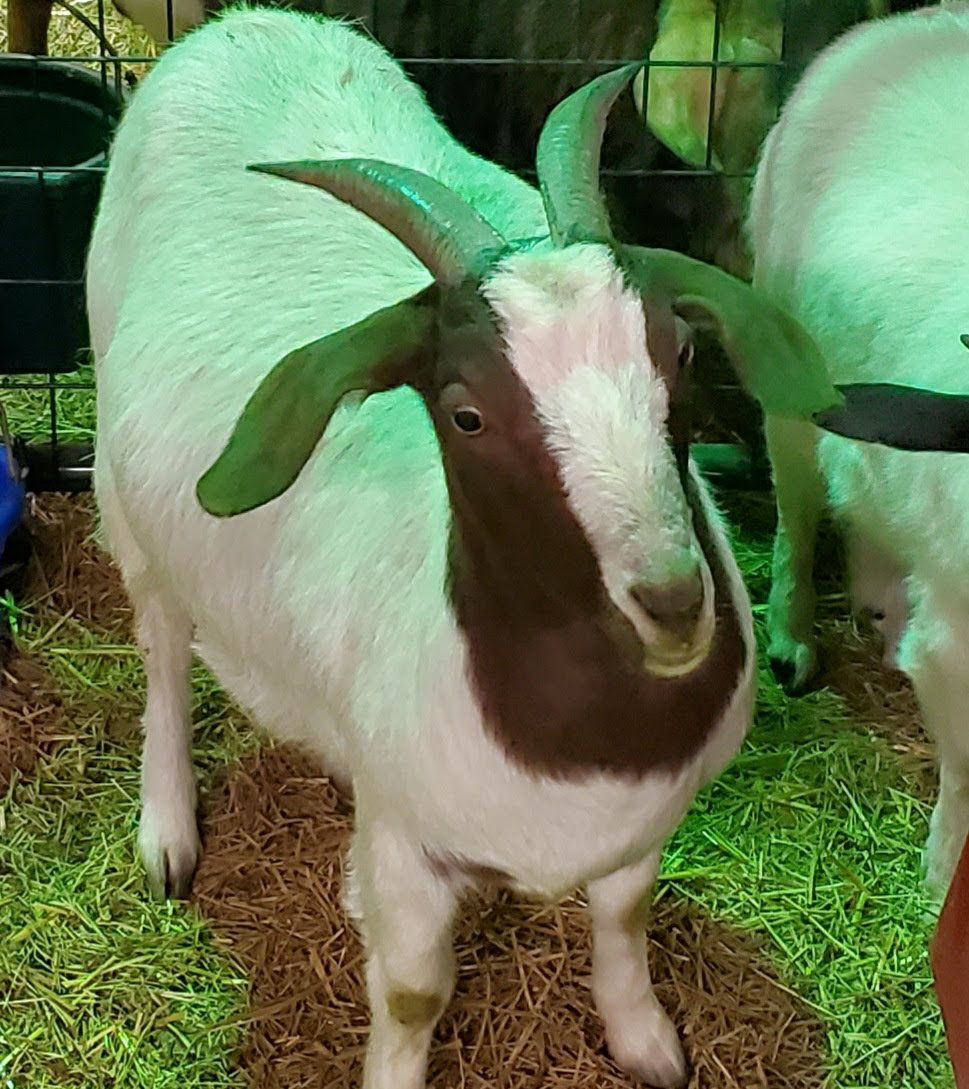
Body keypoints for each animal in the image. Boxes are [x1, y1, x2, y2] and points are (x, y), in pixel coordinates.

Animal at [87, 8, 856, 1086]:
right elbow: (414, 992)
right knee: (159, 644)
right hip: (126, 496)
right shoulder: (417, 851)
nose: (672, 601)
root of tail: (250, 25)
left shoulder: (642, 826)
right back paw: (167, 829)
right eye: (465, 414)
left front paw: (645, 1041)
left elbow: (625, 919)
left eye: (680, 351)